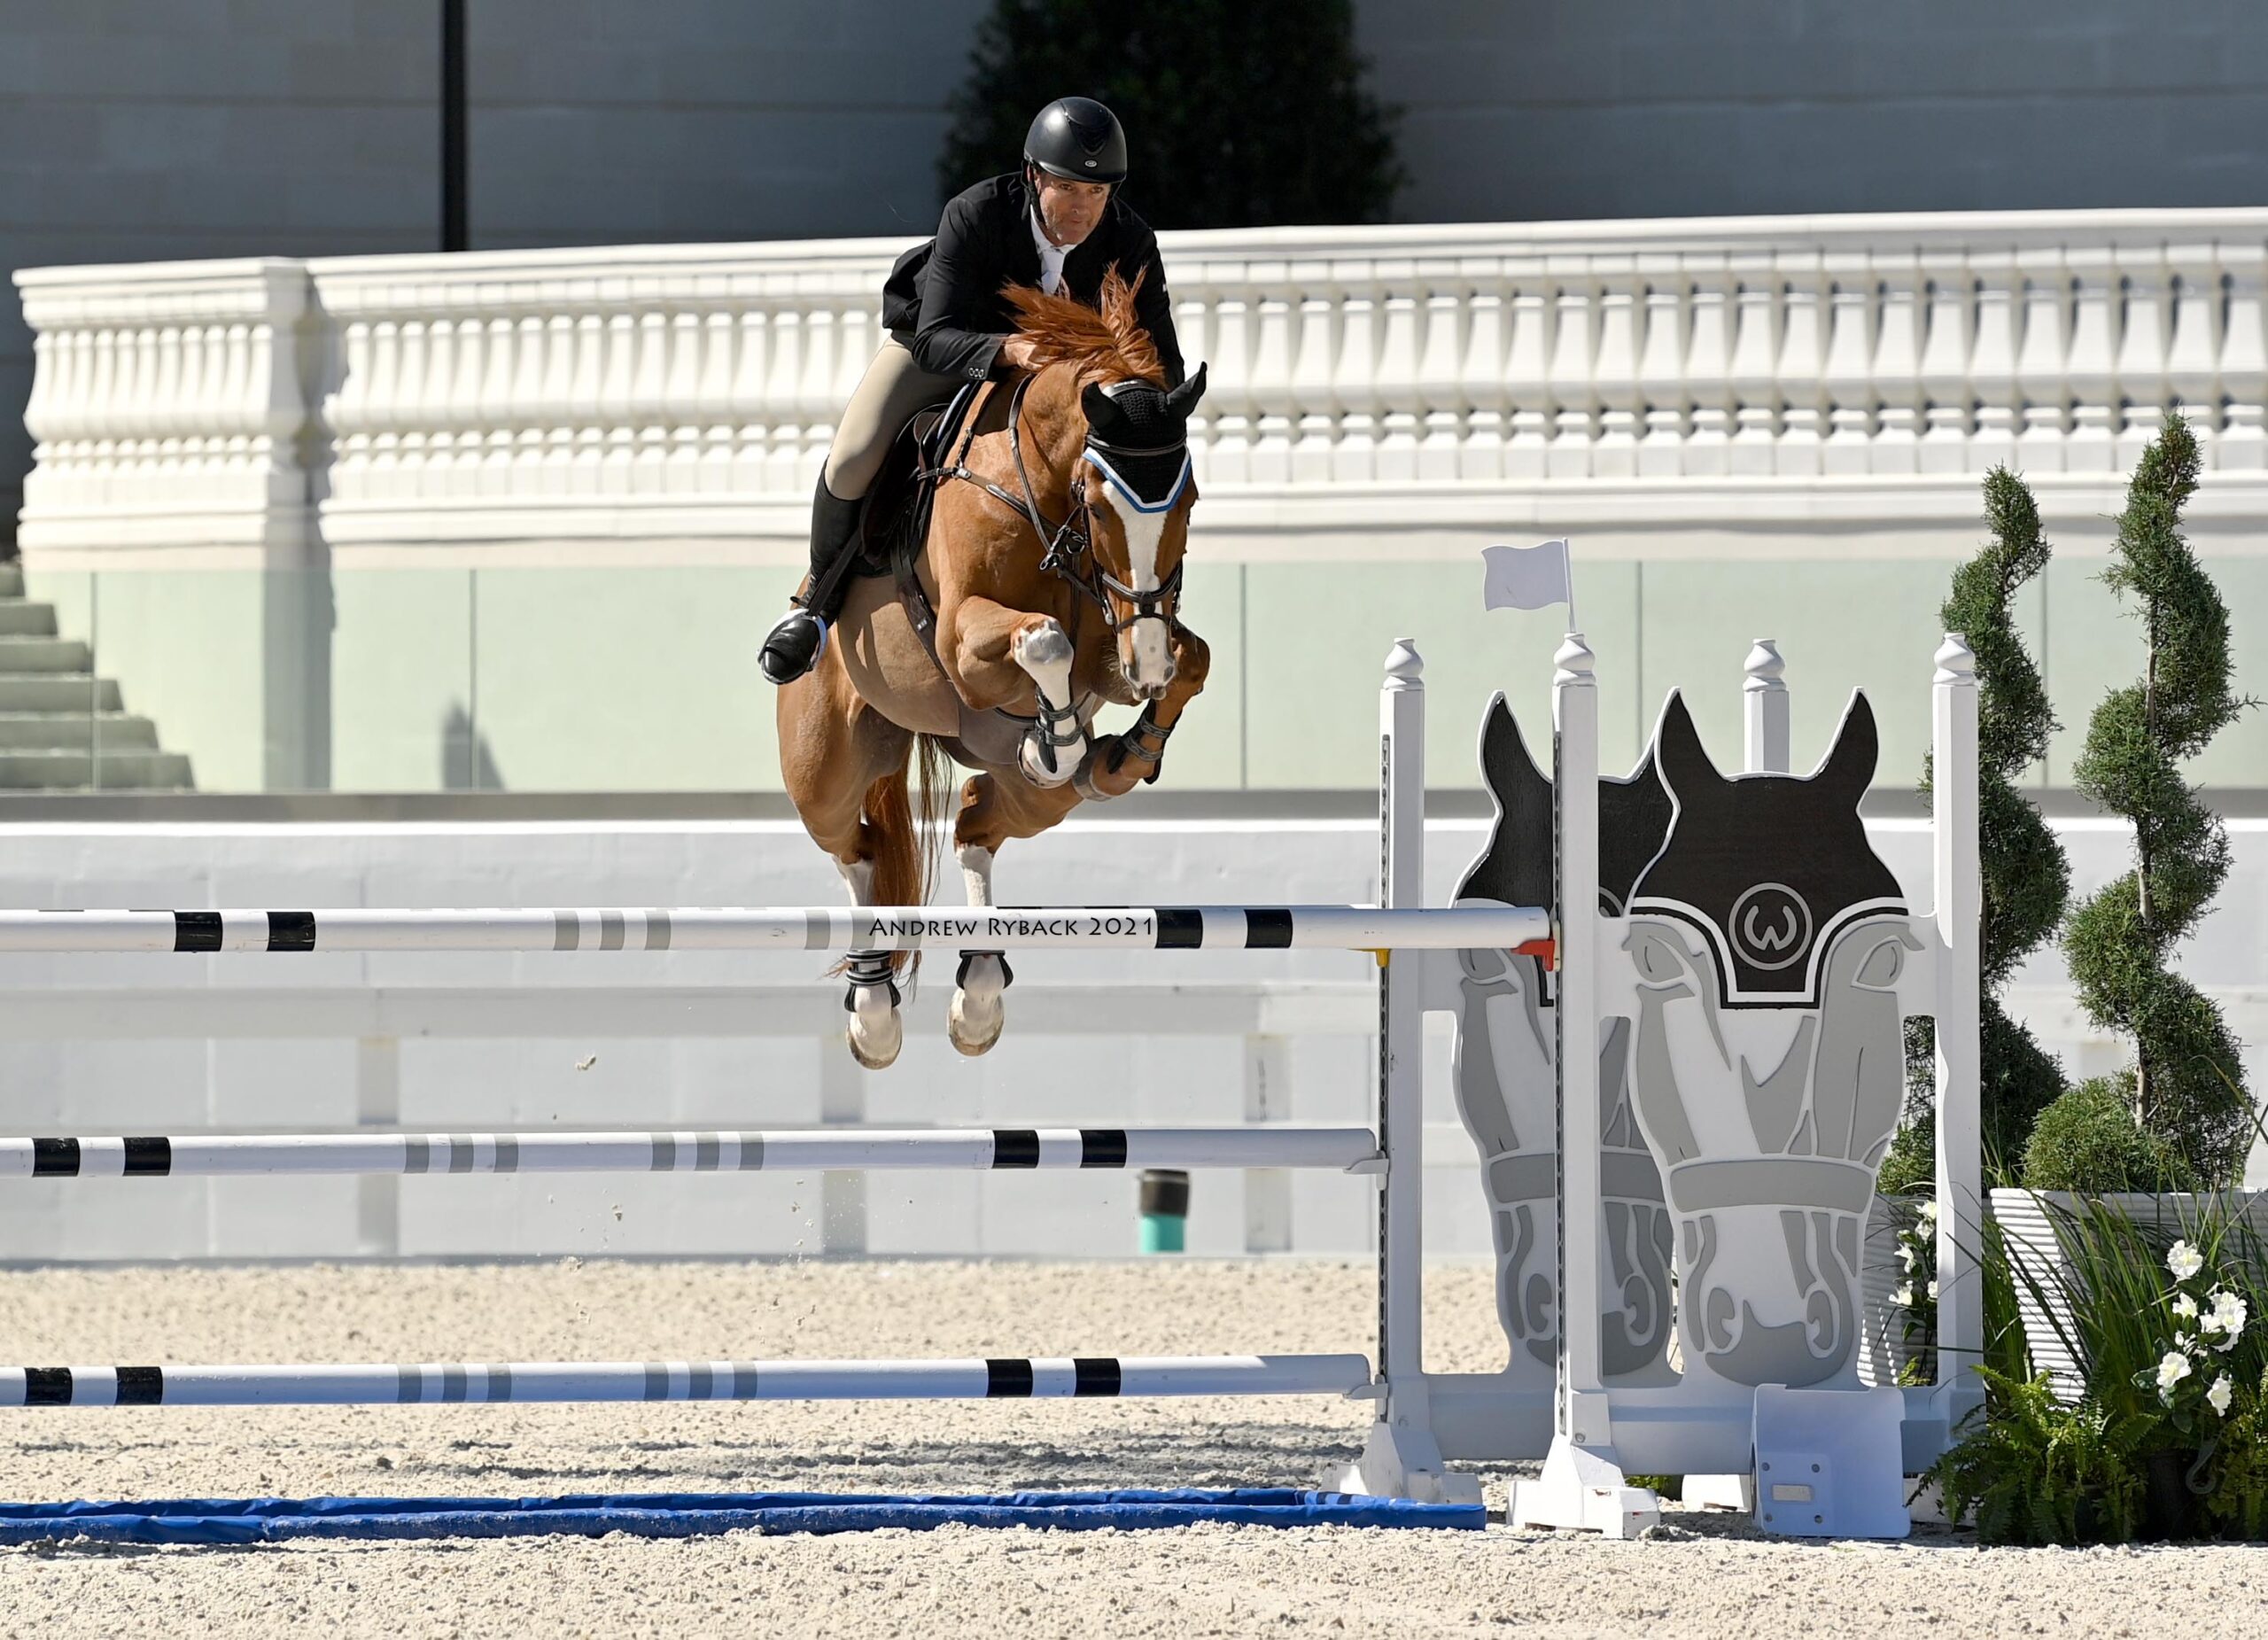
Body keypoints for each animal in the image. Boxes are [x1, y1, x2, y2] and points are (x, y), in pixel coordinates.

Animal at [776, 269, 1211, 1069]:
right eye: (1099, 503)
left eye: (1189, 500)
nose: (1145, 664)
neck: (1041, 491)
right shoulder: (962, 641)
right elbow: (1042, 642)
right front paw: (1056, 740)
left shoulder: (1114, 640)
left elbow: (1188, 656)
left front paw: (1129, 747)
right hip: (823, 766)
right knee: (855, 846)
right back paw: (874, 1014)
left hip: (1024, 796)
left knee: (977, 816)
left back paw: (979, 992)